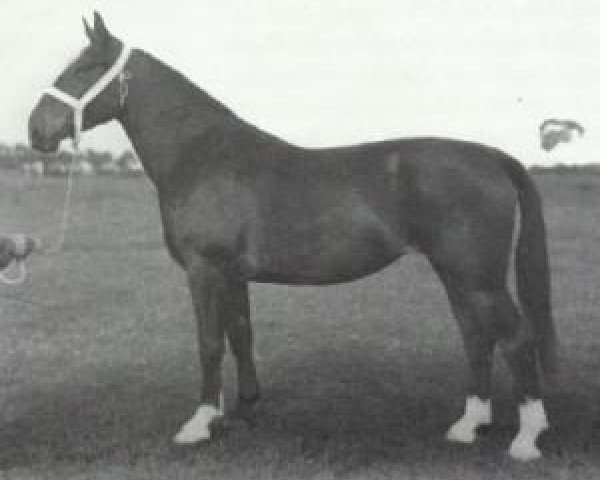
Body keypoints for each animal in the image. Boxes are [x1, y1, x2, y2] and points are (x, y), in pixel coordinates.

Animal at [27, 12, 552, 462]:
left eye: (85, 68)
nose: (36, 131)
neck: (203, 154)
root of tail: (487, 155)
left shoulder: (204, 270)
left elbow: (209, 342)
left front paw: (198, 424)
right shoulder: (232, 275)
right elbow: (240, 333)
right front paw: (241, 409)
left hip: (477, 276)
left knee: (516, 337)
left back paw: (526, 439)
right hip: (458, 273)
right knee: (477, 336)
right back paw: (468, 426)